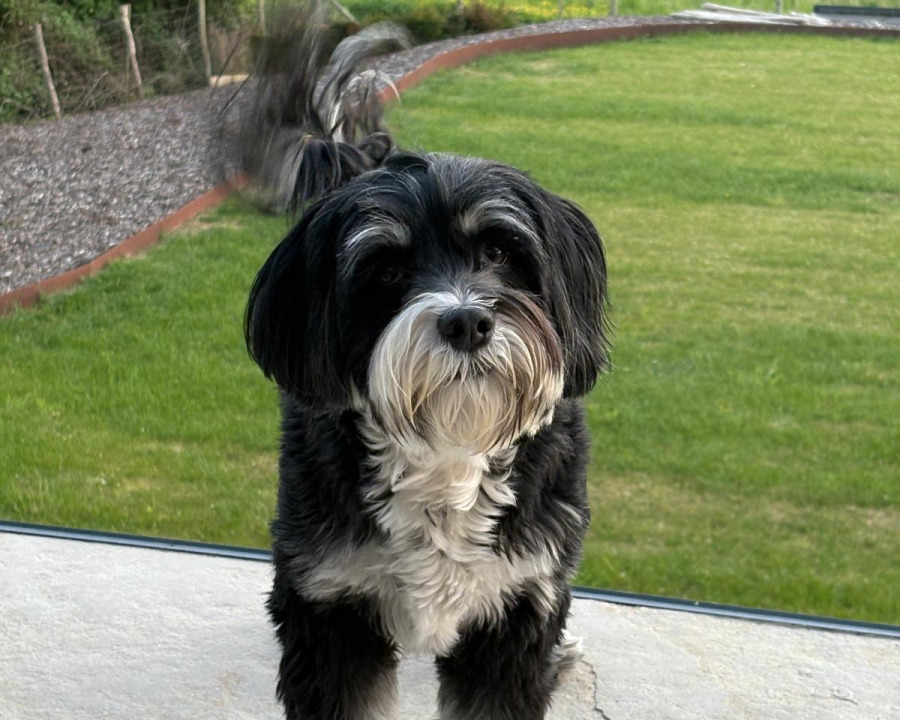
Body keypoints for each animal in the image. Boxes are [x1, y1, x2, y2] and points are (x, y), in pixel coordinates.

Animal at [232, 10, 609, 719]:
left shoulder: (517, 608)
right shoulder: (331, 604)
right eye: (385, 270)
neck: (446, 457)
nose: (467, 322)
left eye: (499, 250)